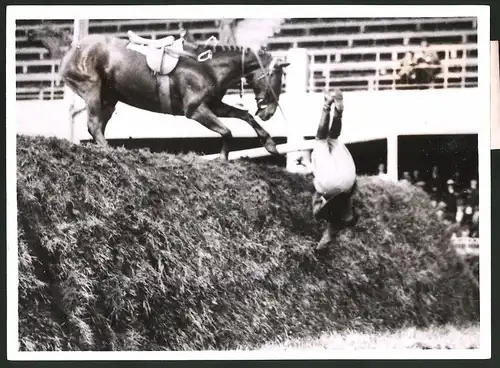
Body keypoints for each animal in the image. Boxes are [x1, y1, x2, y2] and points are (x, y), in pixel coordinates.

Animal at [27, 24, 292, 160]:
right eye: (276, 78)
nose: (268, 112)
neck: (208, 66)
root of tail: (72, 46)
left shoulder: (213, 105)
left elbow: (244, 116)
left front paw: (269, 144)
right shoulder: (195, 110)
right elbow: (227, 131)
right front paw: (223, 158)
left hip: (109, 98)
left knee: (97, 126)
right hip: (91, 87)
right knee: (93, 125)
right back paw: (110, 151)